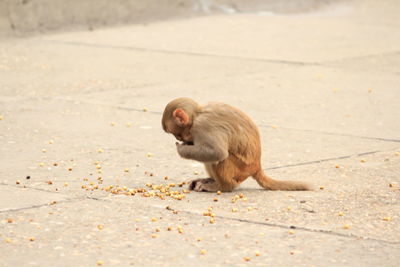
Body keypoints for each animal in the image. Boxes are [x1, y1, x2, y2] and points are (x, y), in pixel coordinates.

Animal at [161, 98, 310, 193]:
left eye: (176, 134)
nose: (180, 138)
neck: (197, 114)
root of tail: (257, 166)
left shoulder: (202, 126)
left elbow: (217, 152)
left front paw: (182, 149)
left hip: (240, 169)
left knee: (219, 159)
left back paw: (223, 186)